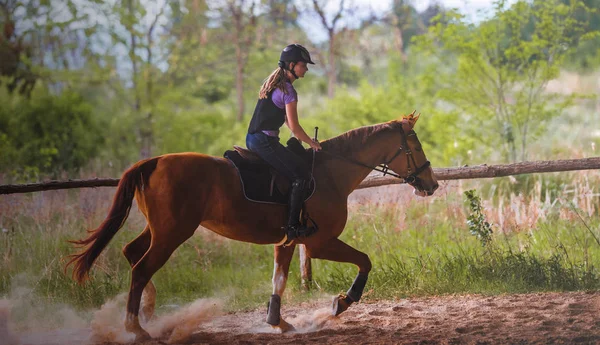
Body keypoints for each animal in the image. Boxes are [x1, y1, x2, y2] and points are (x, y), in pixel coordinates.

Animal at [67, 112, 440, 338]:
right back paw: (137, 328)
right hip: (172, 233)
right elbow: (365, 261)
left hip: (160, 230)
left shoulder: (288, 242)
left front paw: (279, 322)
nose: (432, 184)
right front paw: (340, 303)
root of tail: (154, 161)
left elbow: (279, 280)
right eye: (416, 145)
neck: (331, 173)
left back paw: (148, 314)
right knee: (142, 268)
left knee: (132, 254)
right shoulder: (319, 243)